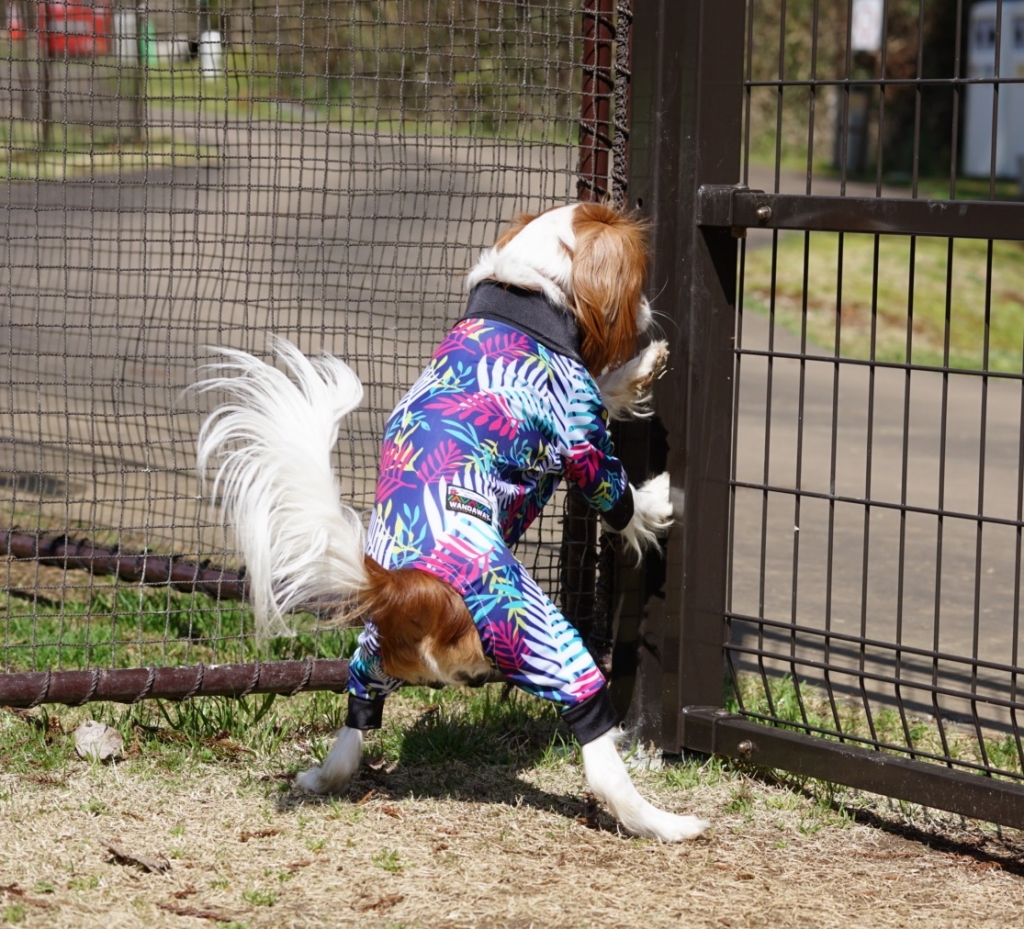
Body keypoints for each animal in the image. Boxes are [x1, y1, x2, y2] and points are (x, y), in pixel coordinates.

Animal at [196, 202, 710, 842]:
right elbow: (614, 490)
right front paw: (655, 500)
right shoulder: (581, 434)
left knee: (356, 720)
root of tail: (403, 588)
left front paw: (641, 366)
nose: (644, 313)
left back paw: (320, 777)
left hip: (370, 656)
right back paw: (667, 823)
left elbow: (608, 384)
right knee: (598, 756)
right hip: (539, 635)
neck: (524, 290)